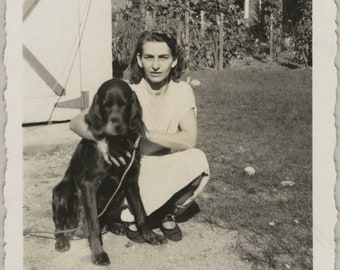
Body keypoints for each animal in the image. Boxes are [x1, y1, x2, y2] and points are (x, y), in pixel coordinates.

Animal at [51, 78, 166, 266]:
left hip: (118, 196)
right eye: (105, 105)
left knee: (107, 218)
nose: (116, 124)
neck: (117, 143)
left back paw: (116, 226)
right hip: (62, 192)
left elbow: (140, 213)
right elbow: (94, 225)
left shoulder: (131, 181)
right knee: (60, 226)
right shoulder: (89, 185)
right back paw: (62, 240)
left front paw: (150, 235)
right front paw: (98, 253)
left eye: (124, 104)